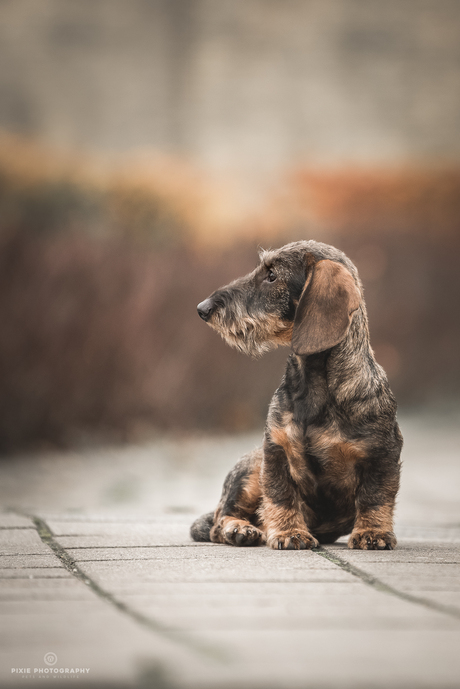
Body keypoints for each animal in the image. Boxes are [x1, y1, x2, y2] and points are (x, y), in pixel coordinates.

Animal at [190, 239, 402, 552]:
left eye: (272, 276)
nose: (202, 308)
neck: (312, 385)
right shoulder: (275, 451)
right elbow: (281, 496)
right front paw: (289, 532)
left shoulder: (381, 455)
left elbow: (375, 497)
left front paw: (372, 532)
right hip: (250, 470)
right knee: (221, 520)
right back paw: (241, 529)